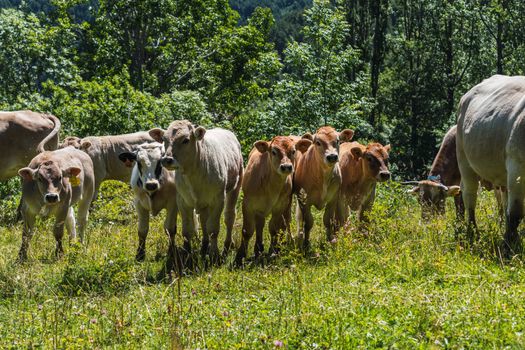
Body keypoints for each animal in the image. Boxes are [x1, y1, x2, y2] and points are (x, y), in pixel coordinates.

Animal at [149, 120, 244, 266]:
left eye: (186, 140)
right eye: (164, 139)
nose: (166, 160)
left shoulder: (218, 200)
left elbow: (213, 229)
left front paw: (214, 254)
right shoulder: (183, 201)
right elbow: (188, 229)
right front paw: (188, 255)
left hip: (235, 187)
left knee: (229, 217)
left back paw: (228, 244)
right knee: (204, 220)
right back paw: (204, 246)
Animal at [234, 135, 312, 264]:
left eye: (293, 151)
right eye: (274, 151)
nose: (286, 167)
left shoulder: (280, 205)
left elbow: (274, 228)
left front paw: (273, 251)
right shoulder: (248, 204)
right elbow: (247, 230)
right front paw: (239, 257)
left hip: (287, 203)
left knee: (285, 222)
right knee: (260, 224)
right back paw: (258, 248)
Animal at [454, 74, 524, 254]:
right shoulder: (517, 166)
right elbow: (516, 214)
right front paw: (508, 247)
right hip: (464, 159)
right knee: (470, 197)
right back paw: (472, 234)